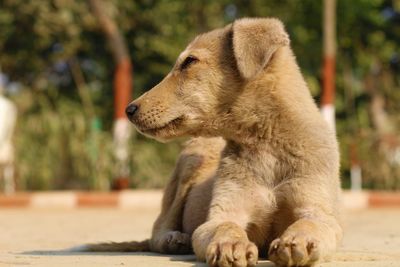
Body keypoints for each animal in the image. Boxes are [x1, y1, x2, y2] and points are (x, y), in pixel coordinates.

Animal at [82, 17, 344, 266]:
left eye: (189, 62)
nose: (129, 110)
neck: (266, 144)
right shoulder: (223, 213)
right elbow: (226, 225)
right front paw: (230, 245)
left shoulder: (319, 210)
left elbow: (311, 223)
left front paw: (296, 241)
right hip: (188, 165)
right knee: (159, 229)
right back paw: (174, 239)